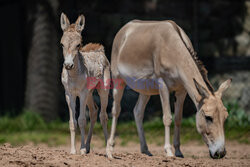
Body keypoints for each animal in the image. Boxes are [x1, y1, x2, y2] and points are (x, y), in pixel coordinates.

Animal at [60, 13, 110, 155]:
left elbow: (82, 120)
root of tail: (100, 49)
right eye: (62, 44)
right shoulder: (69, 94)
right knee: (94, 111)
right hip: (89, 93)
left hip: (103, 90)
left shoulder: (81, 93)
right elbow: (72, 122)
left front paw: (81, 150)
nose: (68, 65)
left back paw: (108, 150)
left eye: (78, 44)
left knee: (103, 116)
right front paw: (73, 151)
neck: (73, 76)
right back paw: (88, 146)